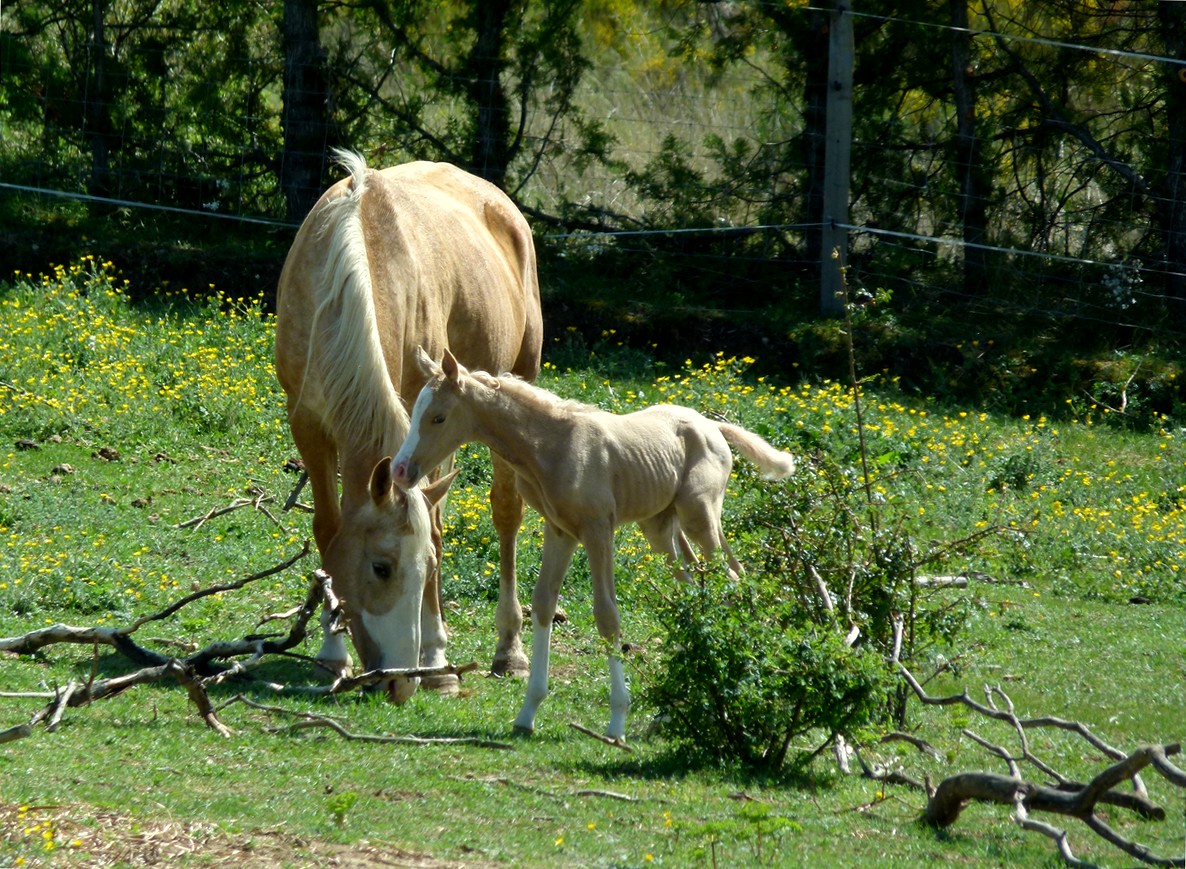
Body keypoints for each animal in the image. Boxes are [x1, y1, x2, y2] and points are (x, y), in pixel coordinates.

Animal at [272, 152, 543, 701]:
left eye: (427, 571)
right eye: (382, 568)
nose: (397, 682)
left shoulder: (427, 424)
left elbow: (434, 530)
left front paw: (436, 663)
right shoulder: (306, 423)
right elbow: (328, 526)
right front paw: (331, 654)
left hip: (514, 382)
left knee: (507, 512)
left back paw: (509, 650)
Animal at [391, 346, 796, 739]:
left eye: (439, 417)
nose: (400, 470)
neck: (552, 445)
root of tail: (712, 425)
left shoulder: (598, 530)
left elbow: (607, 615)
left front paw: (617, 720)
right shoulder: (561, 531)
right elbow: (543, 604)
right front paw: (528, 712)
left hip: (699, 515)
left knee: (731, 580)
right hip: (659, 528)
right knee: (693, 590)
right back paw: (671, 711)